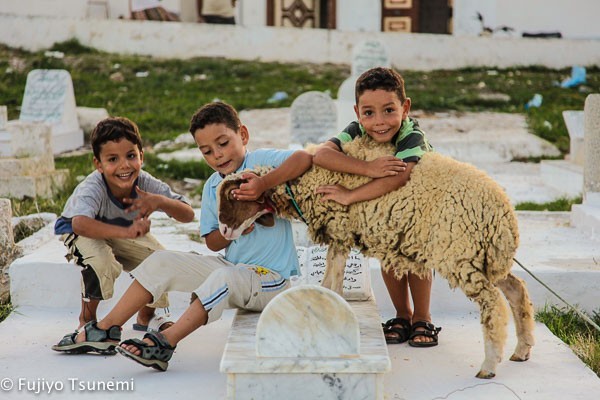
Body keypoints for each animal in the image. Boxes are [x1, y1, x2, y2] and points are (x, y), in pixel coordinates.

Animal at [218, 137, 536, 378]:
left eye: (233, 197)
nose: (221, 231)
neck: (303, 181)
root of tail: (504, 217)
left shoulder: (339, 227)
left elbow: (333, 281)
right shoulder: (339, 235)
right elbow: (330, 278)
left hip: (459, 252)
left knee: (493, 303)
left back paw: (489, 365)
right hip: (482, 257)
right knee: (517, 290)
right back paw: (521, 350)